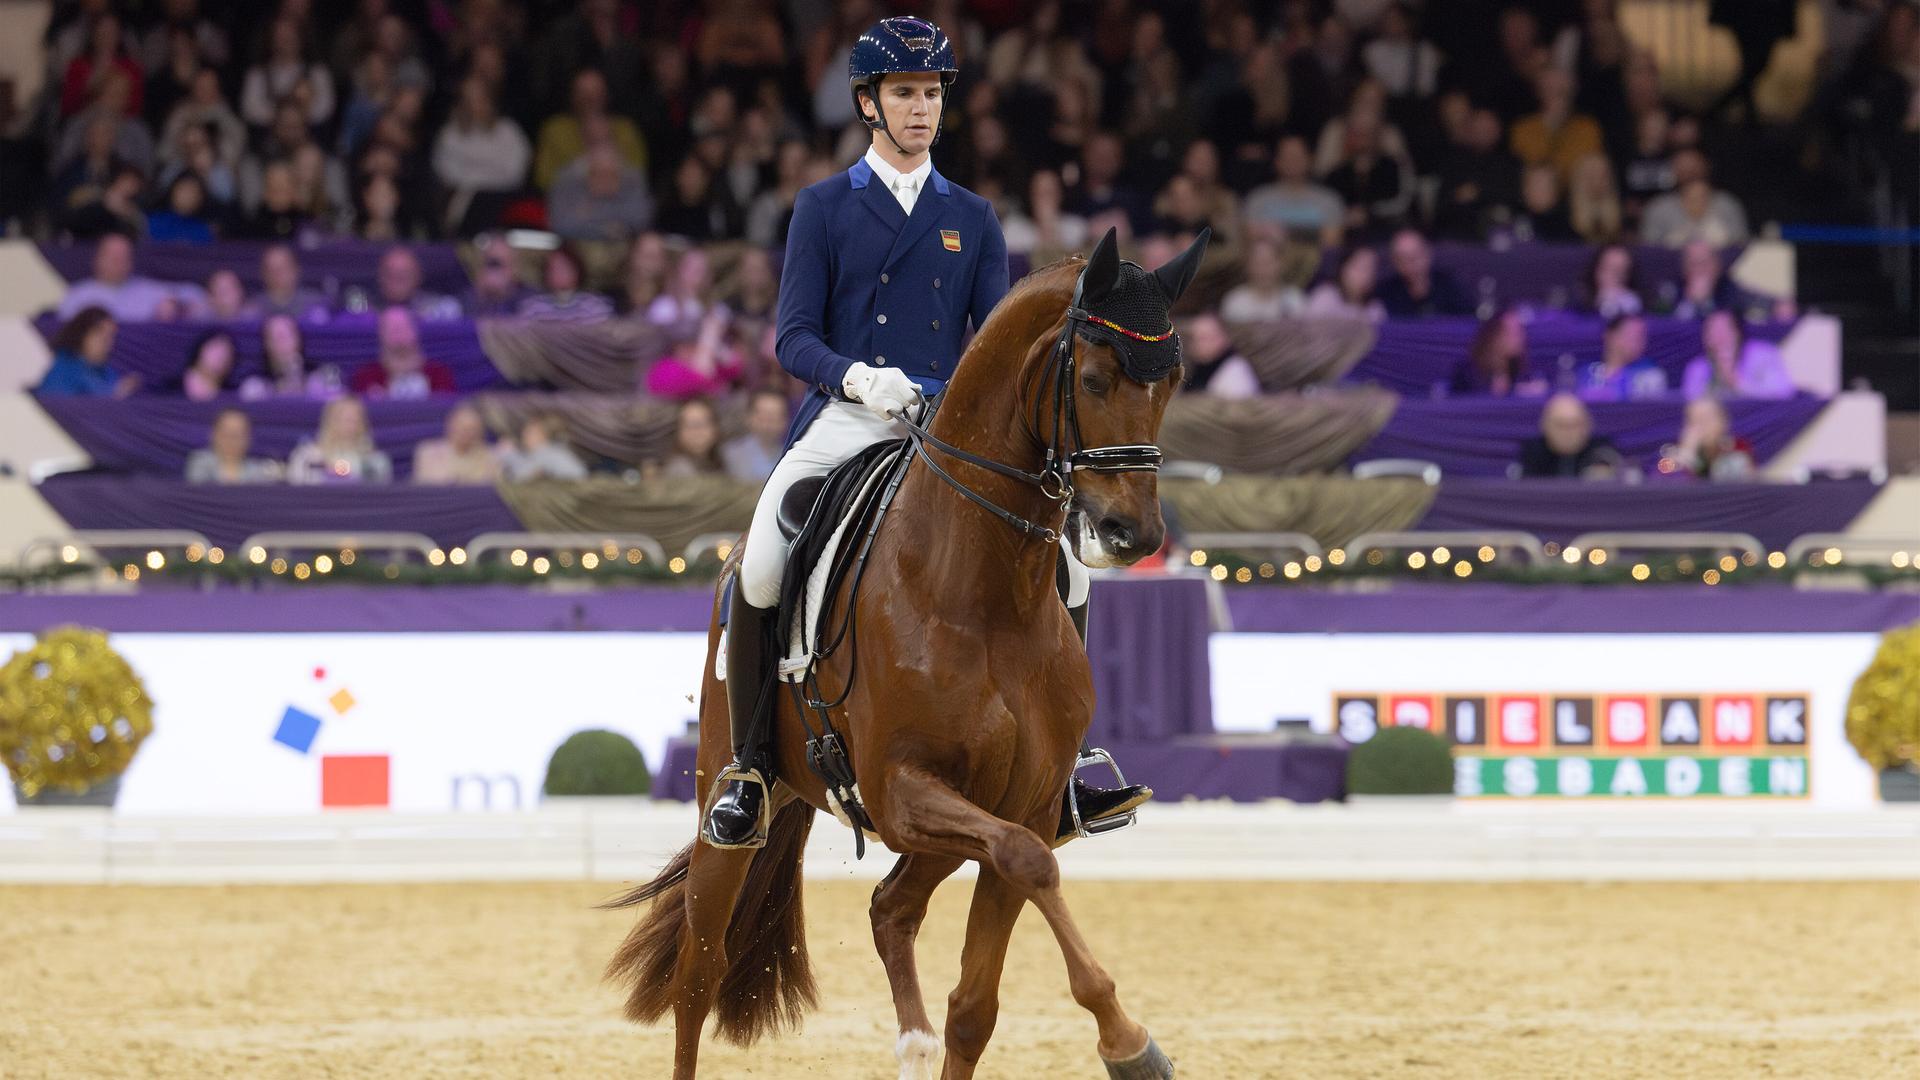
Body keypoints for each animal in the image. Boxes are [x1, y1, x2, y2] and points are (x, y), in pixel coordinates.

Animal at [601, 226, 1206, 1080]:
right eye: (1091, 377)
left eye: (1172, 381)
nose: (1135, 534)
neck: (982, 594)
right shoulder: (903, 789)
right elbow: (1031, 861)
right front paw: (1128, 1043)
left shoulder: (1018, 802)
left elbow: (979, 995)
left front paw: (1115, 1036)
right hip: (735, 797)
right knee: (698, 969)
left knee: (891, 908)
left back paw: (912, 1041)